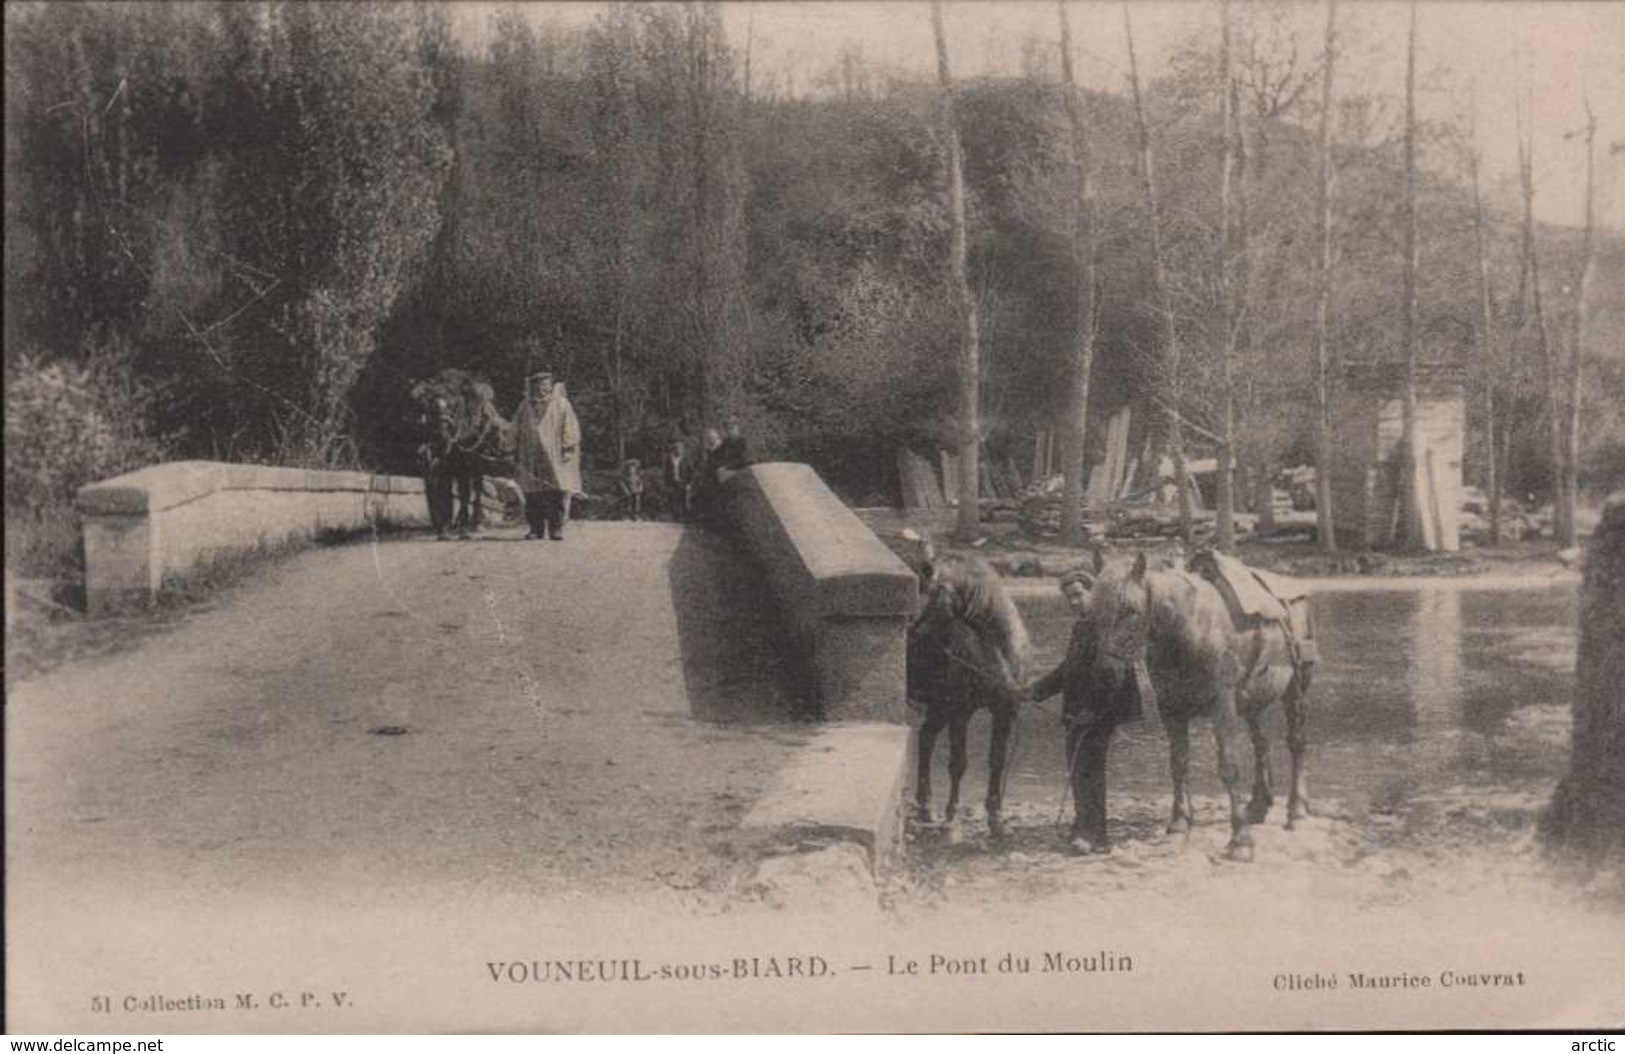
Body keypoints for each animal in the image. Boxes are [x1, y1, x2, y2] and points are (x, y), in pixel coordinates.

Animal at [903, 535, 1027, 838]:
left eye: (925, 590)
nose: (909, 633)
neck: (996, 652)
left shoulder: (1005, 712)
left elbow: (996, 760)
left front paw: (995, 819)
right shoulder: (961, 712)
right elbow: (958, 763)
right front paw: (952, 819)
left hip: (939, 708)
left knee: (926, 738)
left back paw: (926, 807)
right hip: (945, 708)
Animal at [1085, 545, 1313, 857]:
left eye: (1130, 610)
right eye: (1092, 611)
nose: (1105, 673)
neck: (1190, 629)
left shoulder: (1222, 706)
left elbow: (1229, 767)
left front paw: (1240, 841)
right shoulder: (1173, 710)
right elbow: (1178, 763)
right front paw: (1180, 822)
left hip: (1295, 690)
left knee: (1297, 743)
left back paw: (1297, 812)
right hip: (1253, 701)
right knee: (1261, 744)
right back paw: (1257, 807)